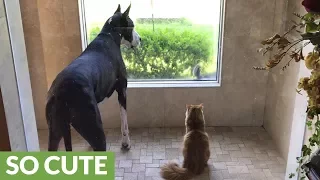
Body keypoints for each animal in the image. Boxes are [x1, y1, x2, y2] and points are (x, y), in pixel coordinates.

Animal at [45, 4, 141, 151]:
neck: (109, 35)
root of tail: (60, 93)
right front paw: (126, 142)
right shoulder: (122, 90)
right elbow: (124, 120)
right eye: (132, 26)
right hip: (95, 132)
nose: (141, 39)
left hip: (55, 131)